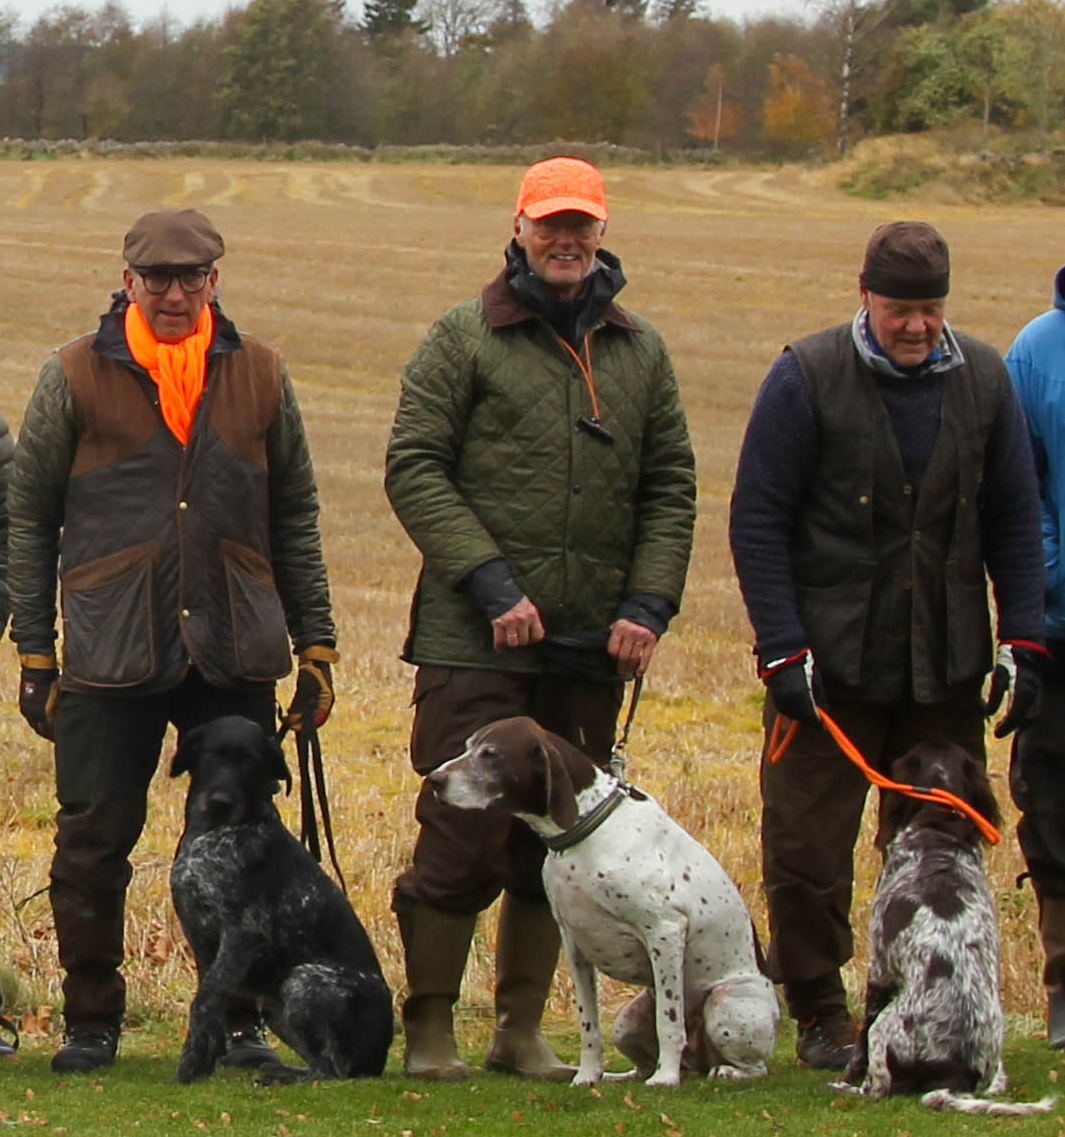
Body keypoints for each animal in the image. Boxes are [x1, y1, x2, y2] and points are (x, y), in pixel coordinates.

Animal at [168, 718, 393, 1082]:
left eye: (250, 761)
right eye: (211, 754)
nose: (220, 801)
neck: (215, 831)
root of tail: (378, 1061)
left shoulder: (242, 934)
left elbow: (205, 1000)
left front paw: (191, 1065)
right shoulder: (200, 939)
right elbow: (211, 1000)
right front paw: (204, 1059)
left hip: (302, 980)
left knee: (332, 1071)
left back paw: (283, 1076)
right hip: (277, 1008)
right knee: (320, 1063)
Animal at [841, 741, 1054, 1114]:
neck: (938, 827)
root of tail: (953, 1078)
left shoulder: (879, 967)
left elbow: (861, 1035)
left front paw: (850, 1072)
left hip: (885, 1027)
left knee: (878, 1081)